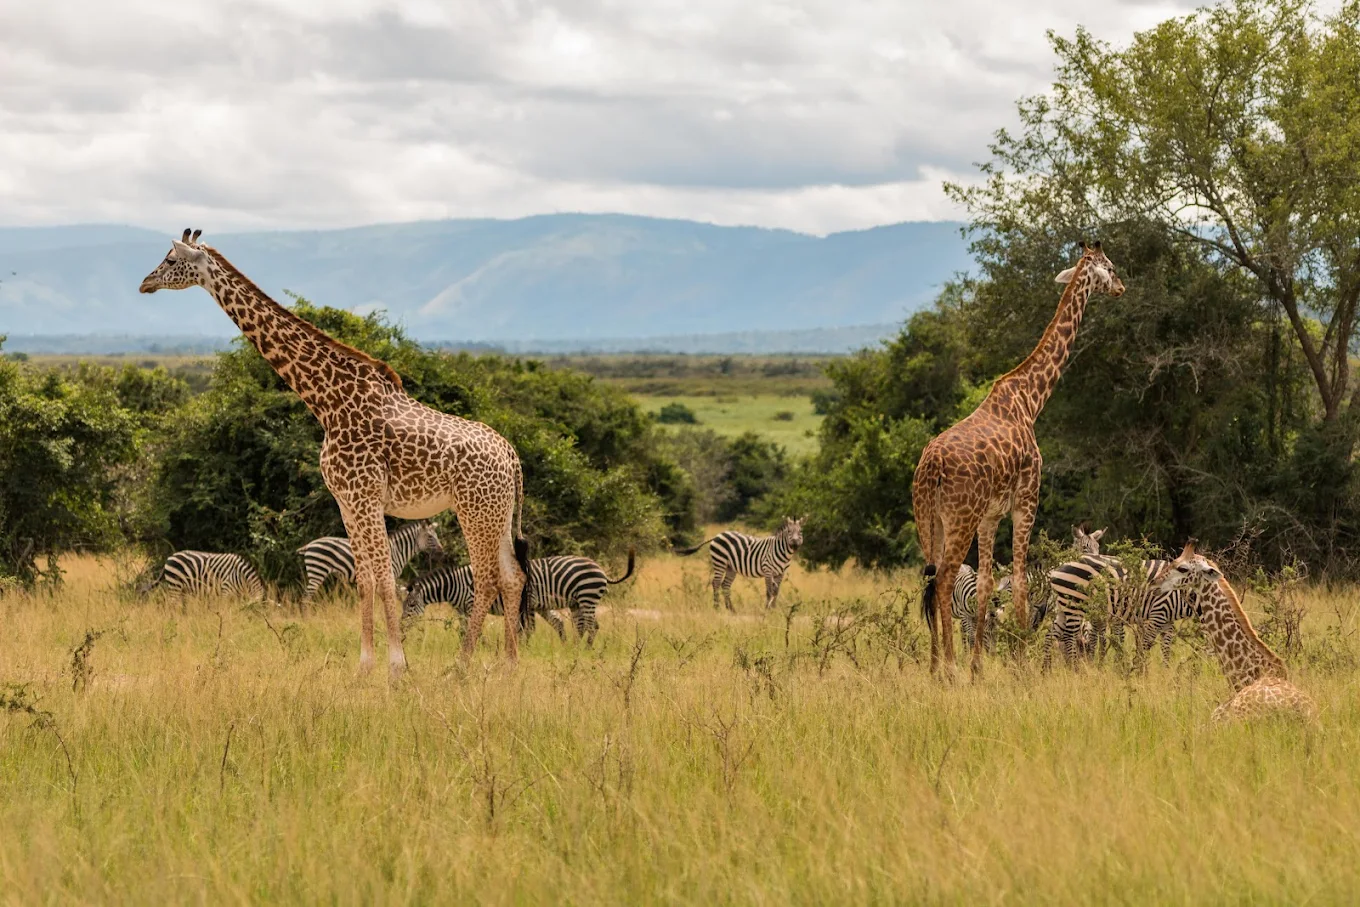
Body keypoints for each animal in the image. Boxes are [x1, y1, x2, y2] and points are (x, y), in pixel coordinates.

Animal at [297, 520, 442, 602]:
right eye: (430, 537)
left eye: (435, 536)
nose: (442, 551)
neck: (396, 550)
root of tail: (309, 545)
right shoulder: (387, 576)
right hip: (317, 571)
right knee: (305, 598)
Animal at [403, 550, 636, 645]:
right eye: (405, 604)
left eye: (412, 604)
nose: (402, 625)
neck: (457, 585)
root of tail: (601, 570)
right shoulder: (462, 609)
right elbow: (463, 630)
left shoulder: (472, 604)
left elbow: (473, 629)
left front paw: (481, 645)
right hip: (576, 602)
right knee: (579, 626)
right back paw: (574, 648)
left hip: (587, 596)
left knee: (591, 625)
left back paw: (585, 649)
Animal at [675, 517, 803, 611]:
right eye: (789, 532)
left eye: (800, 532)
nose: (795, 545)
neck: (780, 550)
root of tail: (717, 535)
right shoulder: (768, 570)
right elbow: (769, 591)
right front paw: (767, 609)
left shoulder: (780, 573)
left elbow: (776, 591)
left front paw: (773, 609)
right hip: (719, 561)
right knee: (716, 583)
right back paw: (717, 607)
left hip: (730, 568)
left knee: (725, 585)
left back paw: (731, 609)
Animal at [913, 241, 1125, 677]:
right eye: (1110, 267)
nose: (1122, 288)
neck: (1030, 400)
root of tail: (931, 467)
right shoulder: (1027, 500)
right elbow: (1022, 582)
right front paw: (1022, 662)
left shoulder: (991, 515)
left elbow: (987, 586)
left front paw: (980, 665)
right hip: (959, 517)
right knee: (942, 579)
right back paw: (949, 667)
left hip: (929, 518)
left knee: (928, 577)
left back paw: (934, 666)